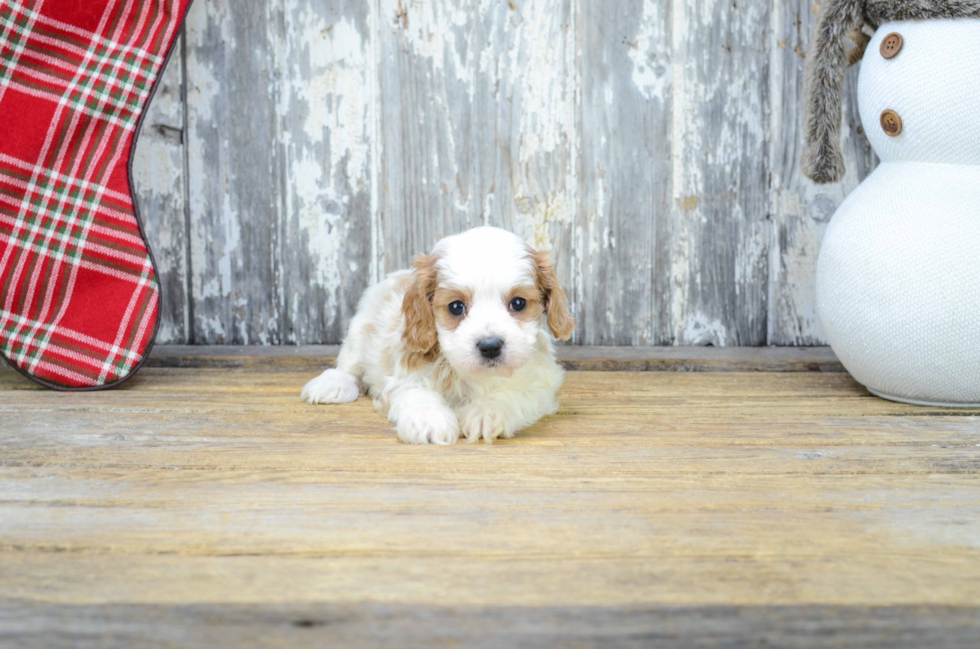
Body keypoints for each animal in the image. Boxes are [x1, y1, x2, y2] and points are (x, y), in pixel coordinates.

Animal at [300, 225, 576, 442]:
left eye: (518, 303)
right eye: (456, 307)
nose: (490, 346)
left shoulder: (542, 382)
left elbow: (515, 394)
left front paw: (486, 412)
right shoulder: (405, 371)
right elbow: (415, 391)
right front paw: (429, 419)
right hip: (361, 327)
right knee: (351, 365)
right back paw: (332, 384)